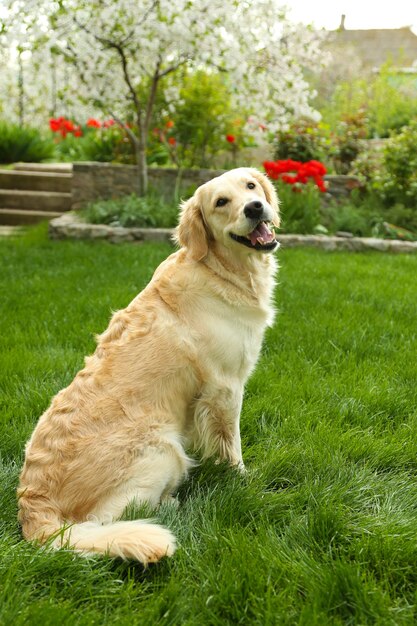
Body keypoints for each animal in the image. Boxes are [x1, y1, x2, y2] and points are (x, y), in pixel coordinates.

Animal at [18, 166, 280, 560]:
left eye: (250, 186)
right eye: (221, 202)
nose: (254, 207)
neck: (220, 269)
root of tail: (33, 509)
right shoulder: (225, 386)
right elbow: (231, 444)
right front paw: (242, 480)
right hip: (162, 449)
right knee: (106, 521)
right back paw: (170, 506)